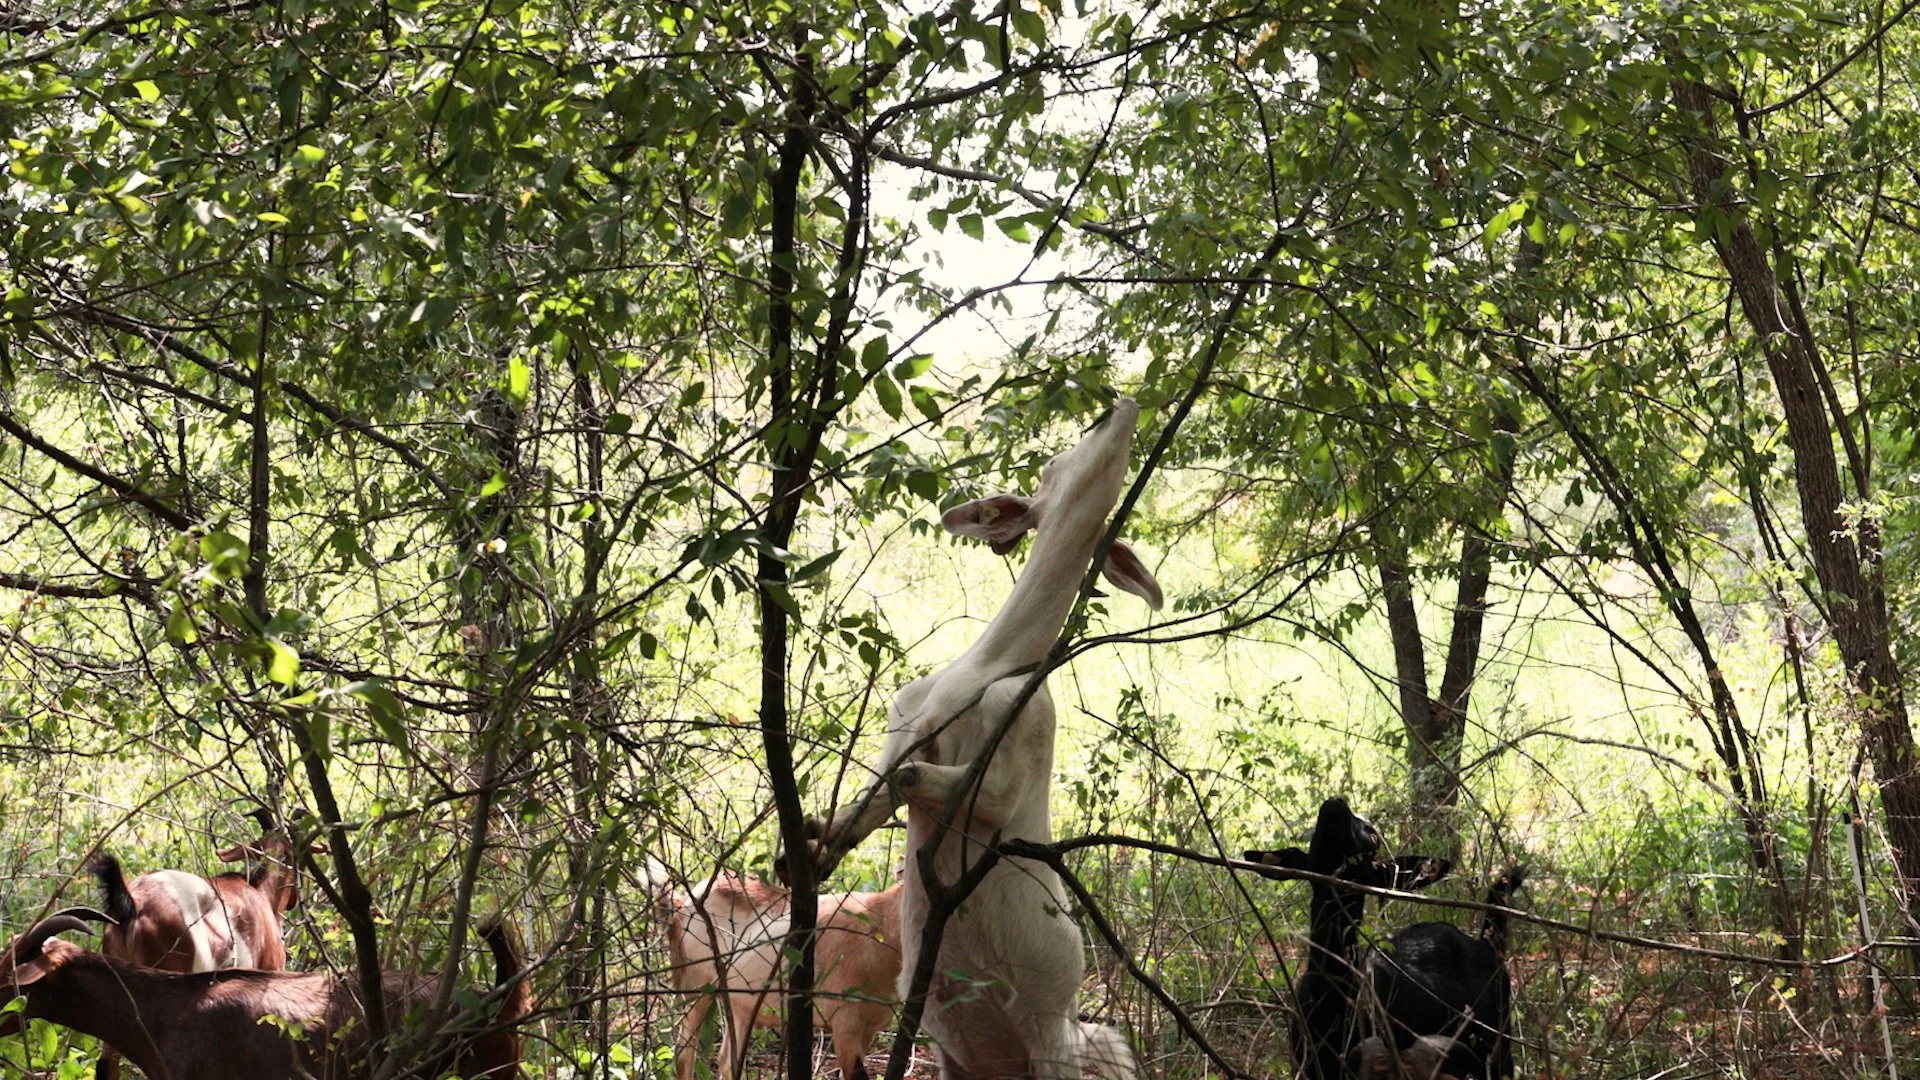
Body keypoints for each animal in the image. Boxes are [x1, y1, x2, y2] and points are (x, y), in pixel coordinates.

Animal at [795, 399, 1159, 1078]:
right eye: (1053, 463)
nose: (1120, 407)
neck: (988, 667)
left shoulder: (1024, 733)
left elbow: (919, 779)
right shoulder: (904, 715)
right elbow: (878, 792)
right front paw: (808, 847)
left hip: (1064, 1042)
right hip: (950, 1052)